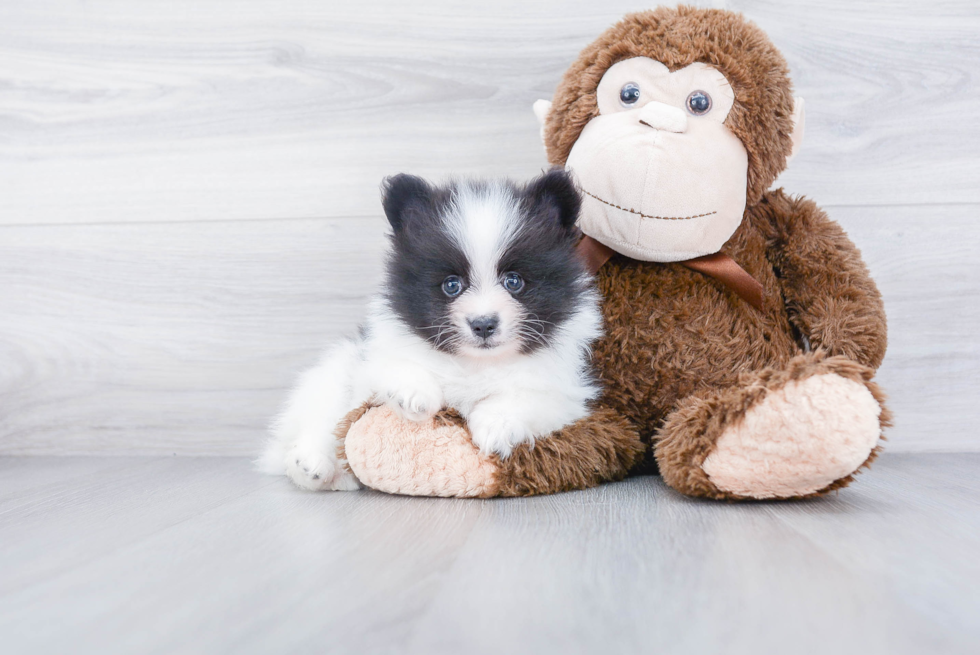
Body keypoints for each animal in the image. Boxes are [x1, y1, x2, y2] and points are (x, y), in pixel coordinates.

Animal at [256, 170, 600, 492]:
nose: (483, 324)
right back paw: (312, 463)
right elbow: (394, 365)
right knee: (320, 421)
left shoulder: (566, 391)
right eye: (451, 285)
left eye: (514, 281)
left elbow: (525, 397)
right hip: (330, 375)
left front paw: (495, 427)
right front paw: (413, 394)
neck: (474, 364)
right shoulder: (373, 356)